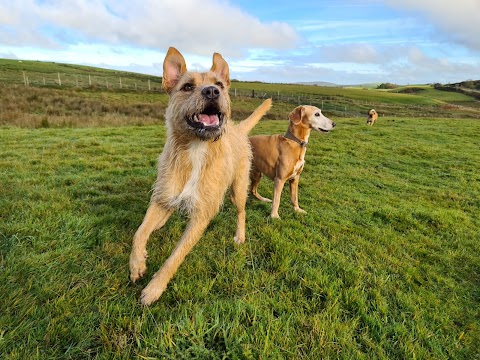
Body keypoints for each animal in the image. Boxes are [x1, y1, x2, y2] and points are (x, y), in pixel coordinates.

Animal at [127, 47, 272, 306]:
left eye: (219, 85)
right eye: (187, 86)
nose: (212, 91)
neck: (196, 149)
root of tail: (237, 129)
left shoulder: (201, 216)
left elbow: (175, 257)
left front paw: (154, 288)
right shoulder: (162, 196)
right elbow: (139, 233)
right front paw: (137, 264)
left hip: (237, 190)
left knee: (241, 211)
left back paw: (240, 235)